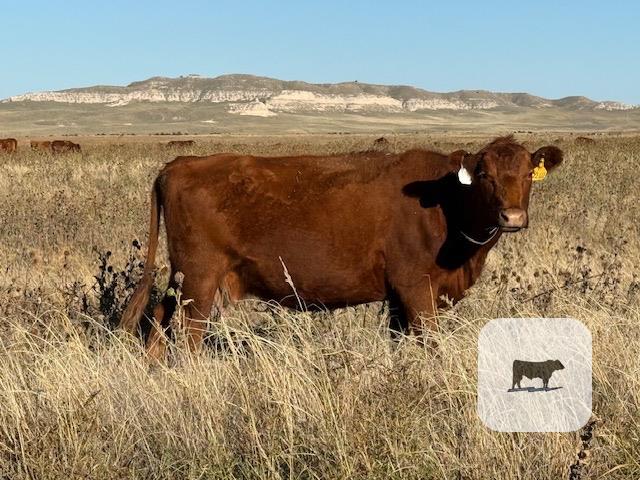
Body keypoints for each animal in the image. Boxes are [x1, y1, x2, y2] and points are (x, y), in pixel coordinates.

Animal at [120, 136, 563, 360]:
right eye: (485, 175)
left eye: (528, 173)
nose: (512, 217)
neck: (446, 199)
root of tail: (181, 162)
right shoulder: (418, 289)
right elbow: (430, 344)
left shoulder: (398, 297)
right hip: (200, 279)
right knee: (187, 335)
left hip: (185, 280)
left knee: (158, 320)